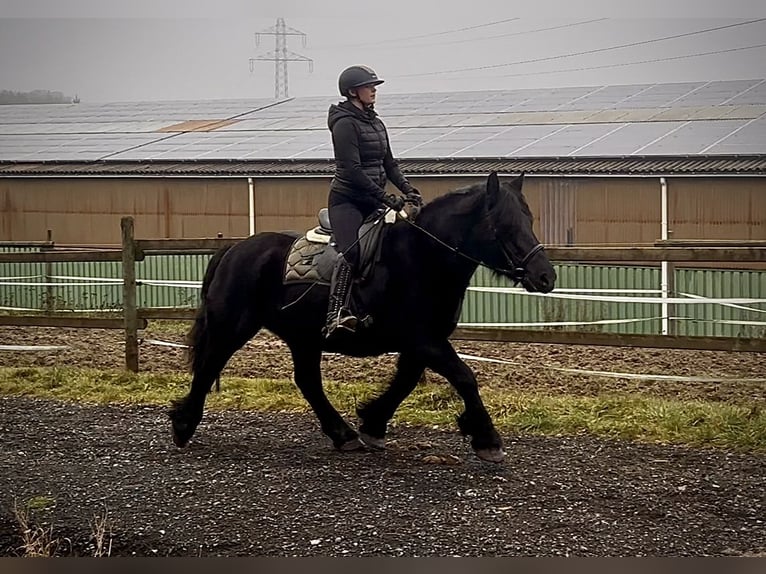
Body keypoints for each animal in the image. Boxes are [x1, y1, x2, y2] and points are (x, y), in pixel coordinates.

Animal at [169, 172, 556, 463]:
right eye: (503, 225)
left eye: (530, 219)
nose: (545, 277)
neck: (422, 257)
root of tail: (234, 248)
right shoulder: (424, 340)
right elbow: (464, 377)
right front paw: (487, 439)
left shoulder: (421, 342)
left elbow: (406, 381)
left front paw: (373, 424)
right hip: (233, 326)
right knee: (209, 366)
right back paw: (183, 425)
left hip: (303, 337)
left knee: (307, 381)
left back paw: (343, 434)